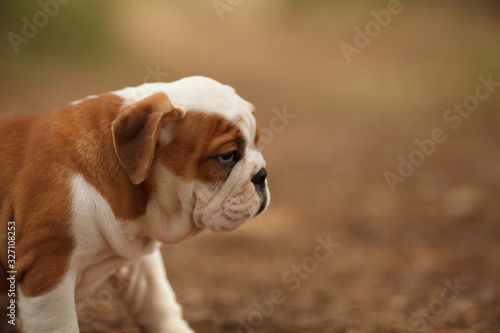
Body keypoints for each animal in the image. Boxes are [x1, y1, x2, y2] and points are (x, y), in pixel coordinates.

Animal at [0, 76, 270, 332]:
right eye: (226, 156)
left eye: (257, 143)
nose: (262, 174)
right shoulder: (48, 270)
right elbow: (60, 325)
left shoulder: (140, 261)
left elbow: (159, 304)